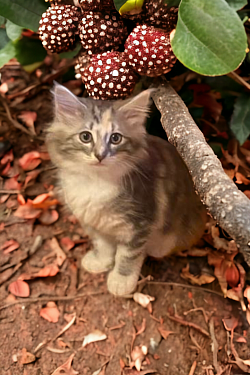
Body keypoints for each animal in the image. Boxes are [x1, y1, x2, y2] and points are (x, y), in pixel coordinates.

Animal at [47, 83, 207, 298]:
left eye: (115, 138)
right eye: (85, 137)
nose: (100, 155)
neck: (96, 182)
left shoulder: (139, 223)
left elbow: (128, 256)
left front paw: (121, 281)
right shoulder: (95, 221)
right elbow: (103, 245)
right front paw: (100, 262)